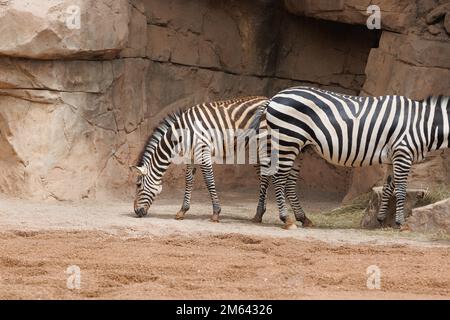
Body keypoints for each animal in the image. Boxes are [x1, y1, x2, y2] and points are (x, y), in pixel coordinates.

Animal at [130, 96, 312, 226]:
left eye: (138, 185)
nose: (136, 212)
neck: (180, 136)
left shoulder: (203, 152)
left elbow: (209, 181)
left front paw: (216, 213)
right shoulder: (191, 156)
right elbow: (188, 181)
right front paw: (182, 211)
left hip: (266, 146)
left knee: (268, 176)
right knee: (265, 176)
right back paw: (261, 214)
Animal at [253, 86, 450, 229]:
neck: (424, 125)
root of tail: (274, 97)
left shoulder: (393, 157)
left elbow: (388, 188)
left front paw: (380, 220)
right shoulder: (403, 153)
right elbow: (400, 189)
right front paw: (400, 223)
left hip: (299, 147)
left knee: (289, 182)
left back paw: (303, 218)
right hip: (288, 140)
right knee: (279, 179)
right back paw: (286, 219)